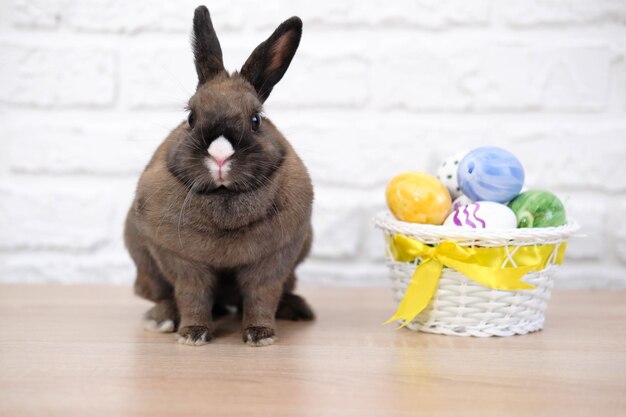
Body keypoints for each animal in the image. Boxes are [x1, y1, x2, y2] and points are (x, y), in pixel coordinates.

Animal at [123, 5, 312, 348]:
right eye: (190, 117)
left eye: (256, 120)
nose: (220, 156)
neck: (224, 196)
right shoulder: (181, 262)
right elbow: (192, 296)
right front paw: (192, 334)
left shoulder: (274, 261)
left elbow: (261, 297)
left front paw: (260, 336)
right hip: (145, 264)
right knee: (160, 295)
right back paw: (161, 319)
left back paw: (297, 309)